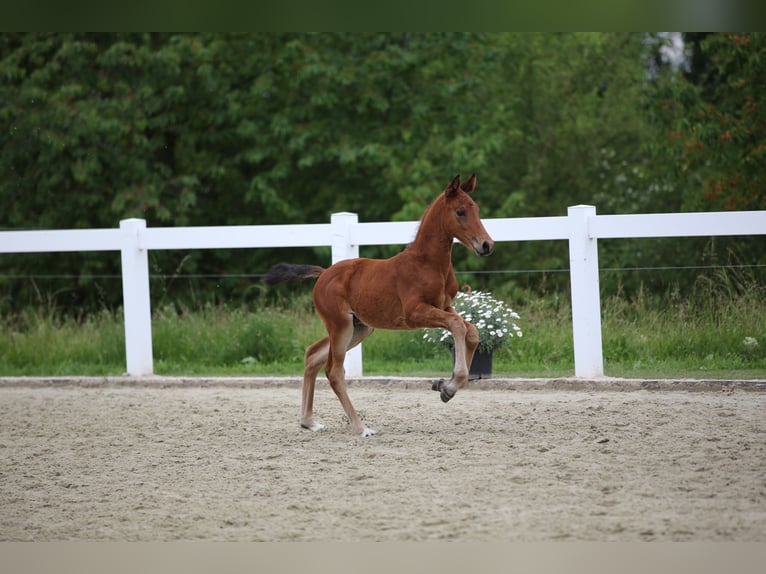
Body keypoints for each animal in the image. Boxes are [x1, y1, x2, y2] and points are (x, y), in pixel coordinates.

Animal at [263, 174, 494, 436]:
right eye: (460, 211)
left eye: (476, 209)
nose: (487, 245)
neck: (428, 263)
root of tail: (323, 274)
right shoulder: (415, 313)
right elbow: (457, 326)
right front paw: (450, 383)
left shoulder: (445, 306)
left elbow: (471, 331)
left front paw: (446, 387)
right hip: (341, 326)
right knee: (333, 370)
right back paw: (360, 427)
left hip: (359, 328)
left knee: (313, 355)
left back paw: (308, 421)